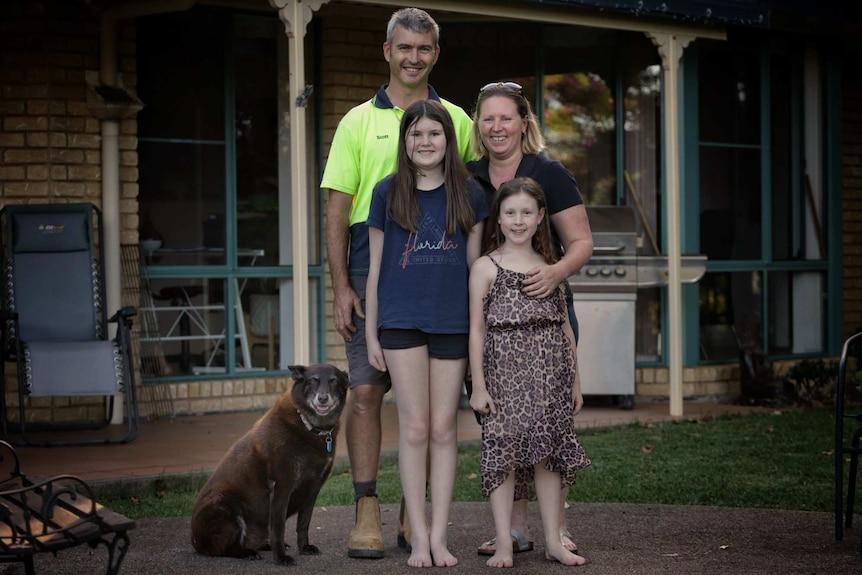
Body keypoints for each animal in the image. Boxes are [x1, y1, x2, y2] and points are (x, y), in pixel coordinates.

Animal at [191, 364, 350, 568]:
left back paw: (262, 545)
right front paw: (280, 558)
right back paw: (246, 552)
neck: (309, 426)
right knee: (224, 549)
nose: (322, 398)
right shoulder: (281, 488)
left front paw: (304, 547)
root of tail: (195, 541)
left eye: (334, 381)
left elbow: (303, 524)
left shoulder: (313, 489)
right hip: (225, 506)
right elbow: (278, 529)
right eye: (312, 380)